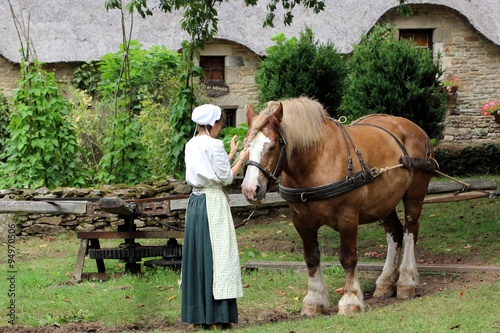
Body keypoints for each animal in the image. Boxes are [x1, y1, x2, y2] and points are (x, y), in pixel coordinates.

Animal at [240, 96, 436, 314]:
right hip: (384, 201)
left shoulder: (347, 217)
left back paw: (406, 280)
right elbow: (311, 257)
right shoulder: (301, 221)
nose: (250, 189)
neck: (317, 161)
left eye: (272, 146)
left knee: (411, 231)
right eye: (246, 145)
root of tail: (414, 127)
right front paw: (314, 299)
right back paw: (386, 281)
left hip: (414, 195)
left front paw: (350, 298)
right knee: (395, 232)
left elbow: (348, 257)